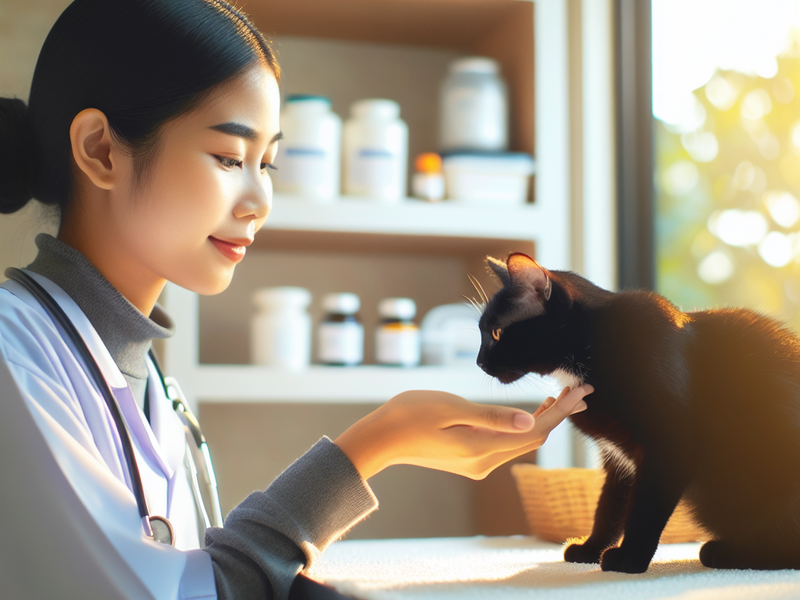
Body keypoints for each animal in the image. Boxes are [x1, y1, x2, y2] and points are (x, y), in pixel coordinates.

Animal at [476, 252, 800, 572]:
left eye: (496, 332)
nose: (479, 362)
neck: (590, 346)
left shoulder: (673, 445)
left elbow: (645, 508)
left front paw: (629, 558)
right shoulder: (619, 456)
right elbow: (608, 506)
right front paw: (591, 548)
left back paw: (724, 553)